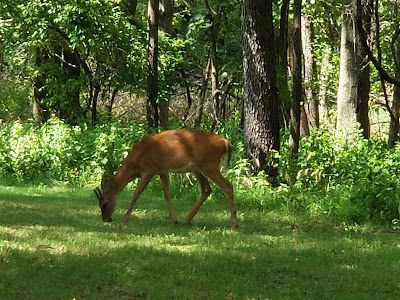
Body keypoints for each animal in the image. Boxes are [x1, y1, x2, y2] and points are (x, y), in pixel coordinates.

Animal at [94, 127, 238, 229]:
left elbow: (136, 194)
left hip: (209, 165)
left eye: (104, 203)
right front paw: (173, 219)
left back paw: (234, 224)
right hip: (197, 168)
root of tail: (226, 142)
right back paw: (186, 220)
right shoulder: (162, 170)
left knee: (228, 186)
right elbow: (167, 194)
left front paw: (125, 218)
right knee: (206, 190)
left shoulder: (149, 169)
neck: (135, 164)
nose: (106, 219)